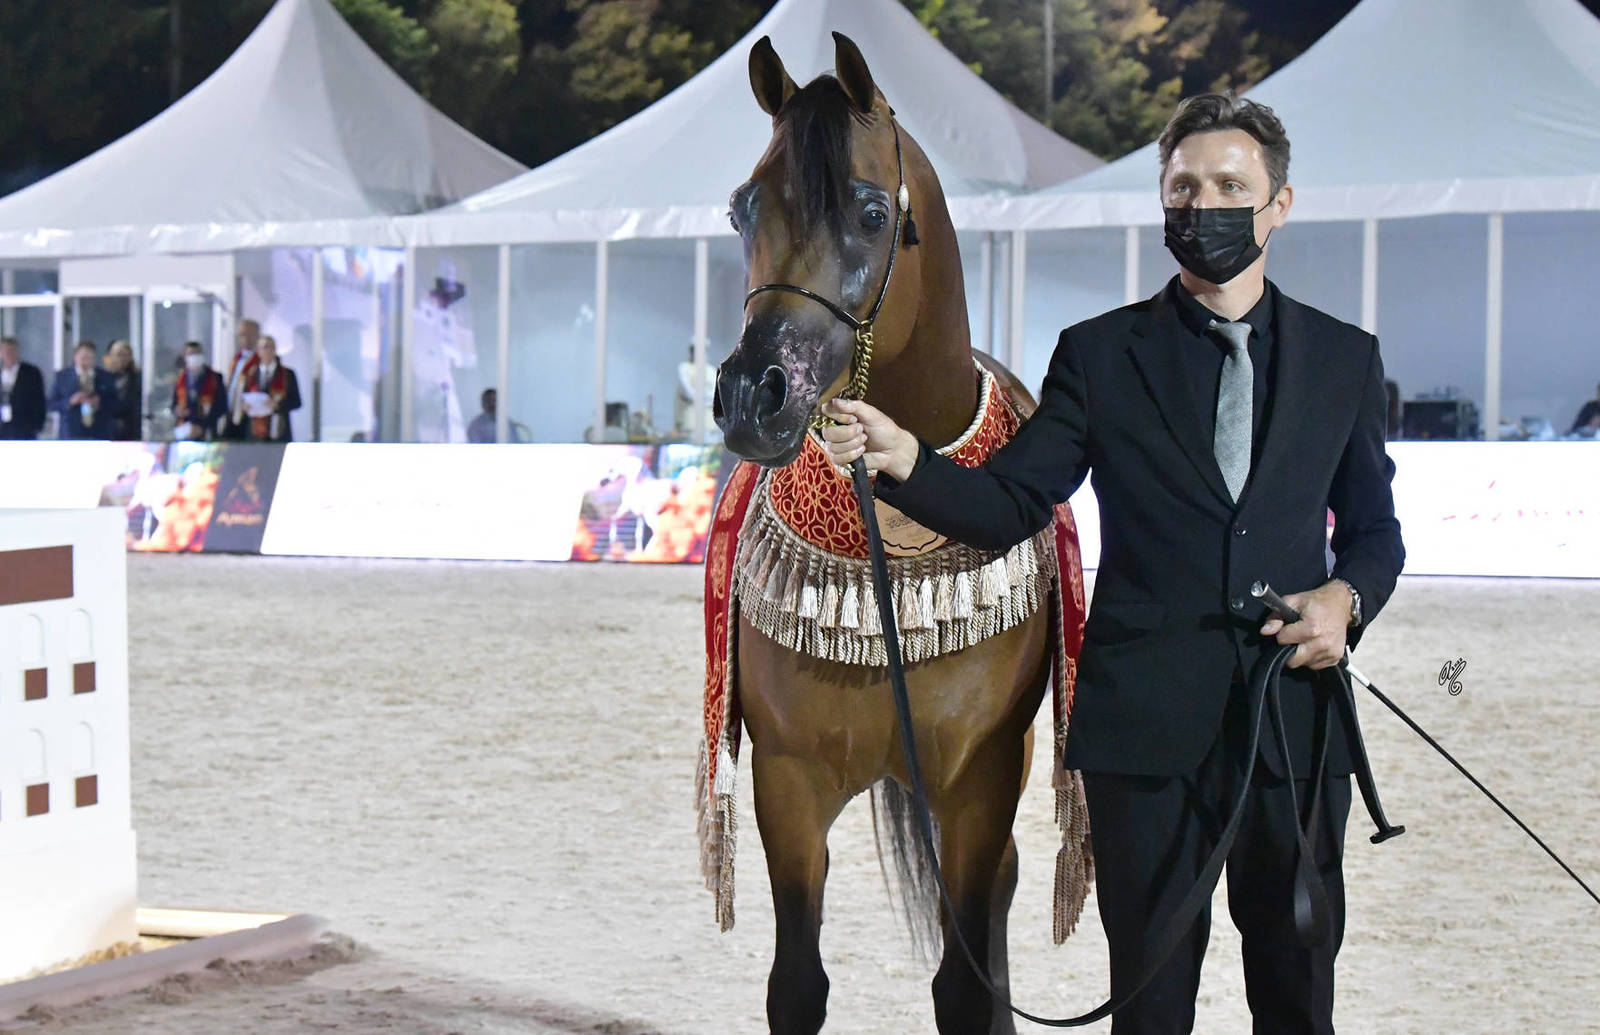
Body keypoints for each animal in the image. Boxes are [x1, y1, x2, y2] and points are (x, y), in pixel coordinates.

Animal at [702, 32, 1090, 1035]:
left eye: (872, 212)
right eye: (741, 207)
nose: (756, 394)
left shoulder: (980, 783)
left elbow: (965, 985)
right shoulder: (789, 784)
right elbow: (796, 985)